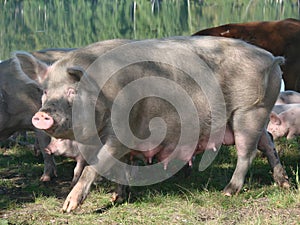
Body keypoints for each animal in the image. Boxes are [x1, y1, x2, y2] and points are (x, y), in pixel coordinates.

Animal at [14, 37, 288, 213]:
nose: (42, 115)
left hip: (250, 110)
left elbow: (95, 167)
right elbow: (117, 167)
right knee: (268, 142)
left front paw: (67, 208)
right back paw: (283, 183)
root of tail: (272, 58)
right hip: (257, 114)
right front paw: (117, 197)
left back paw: (228, 191)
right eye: (45, 92)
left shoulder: (122, 131)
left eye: (73, 91)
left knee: (247, 152)